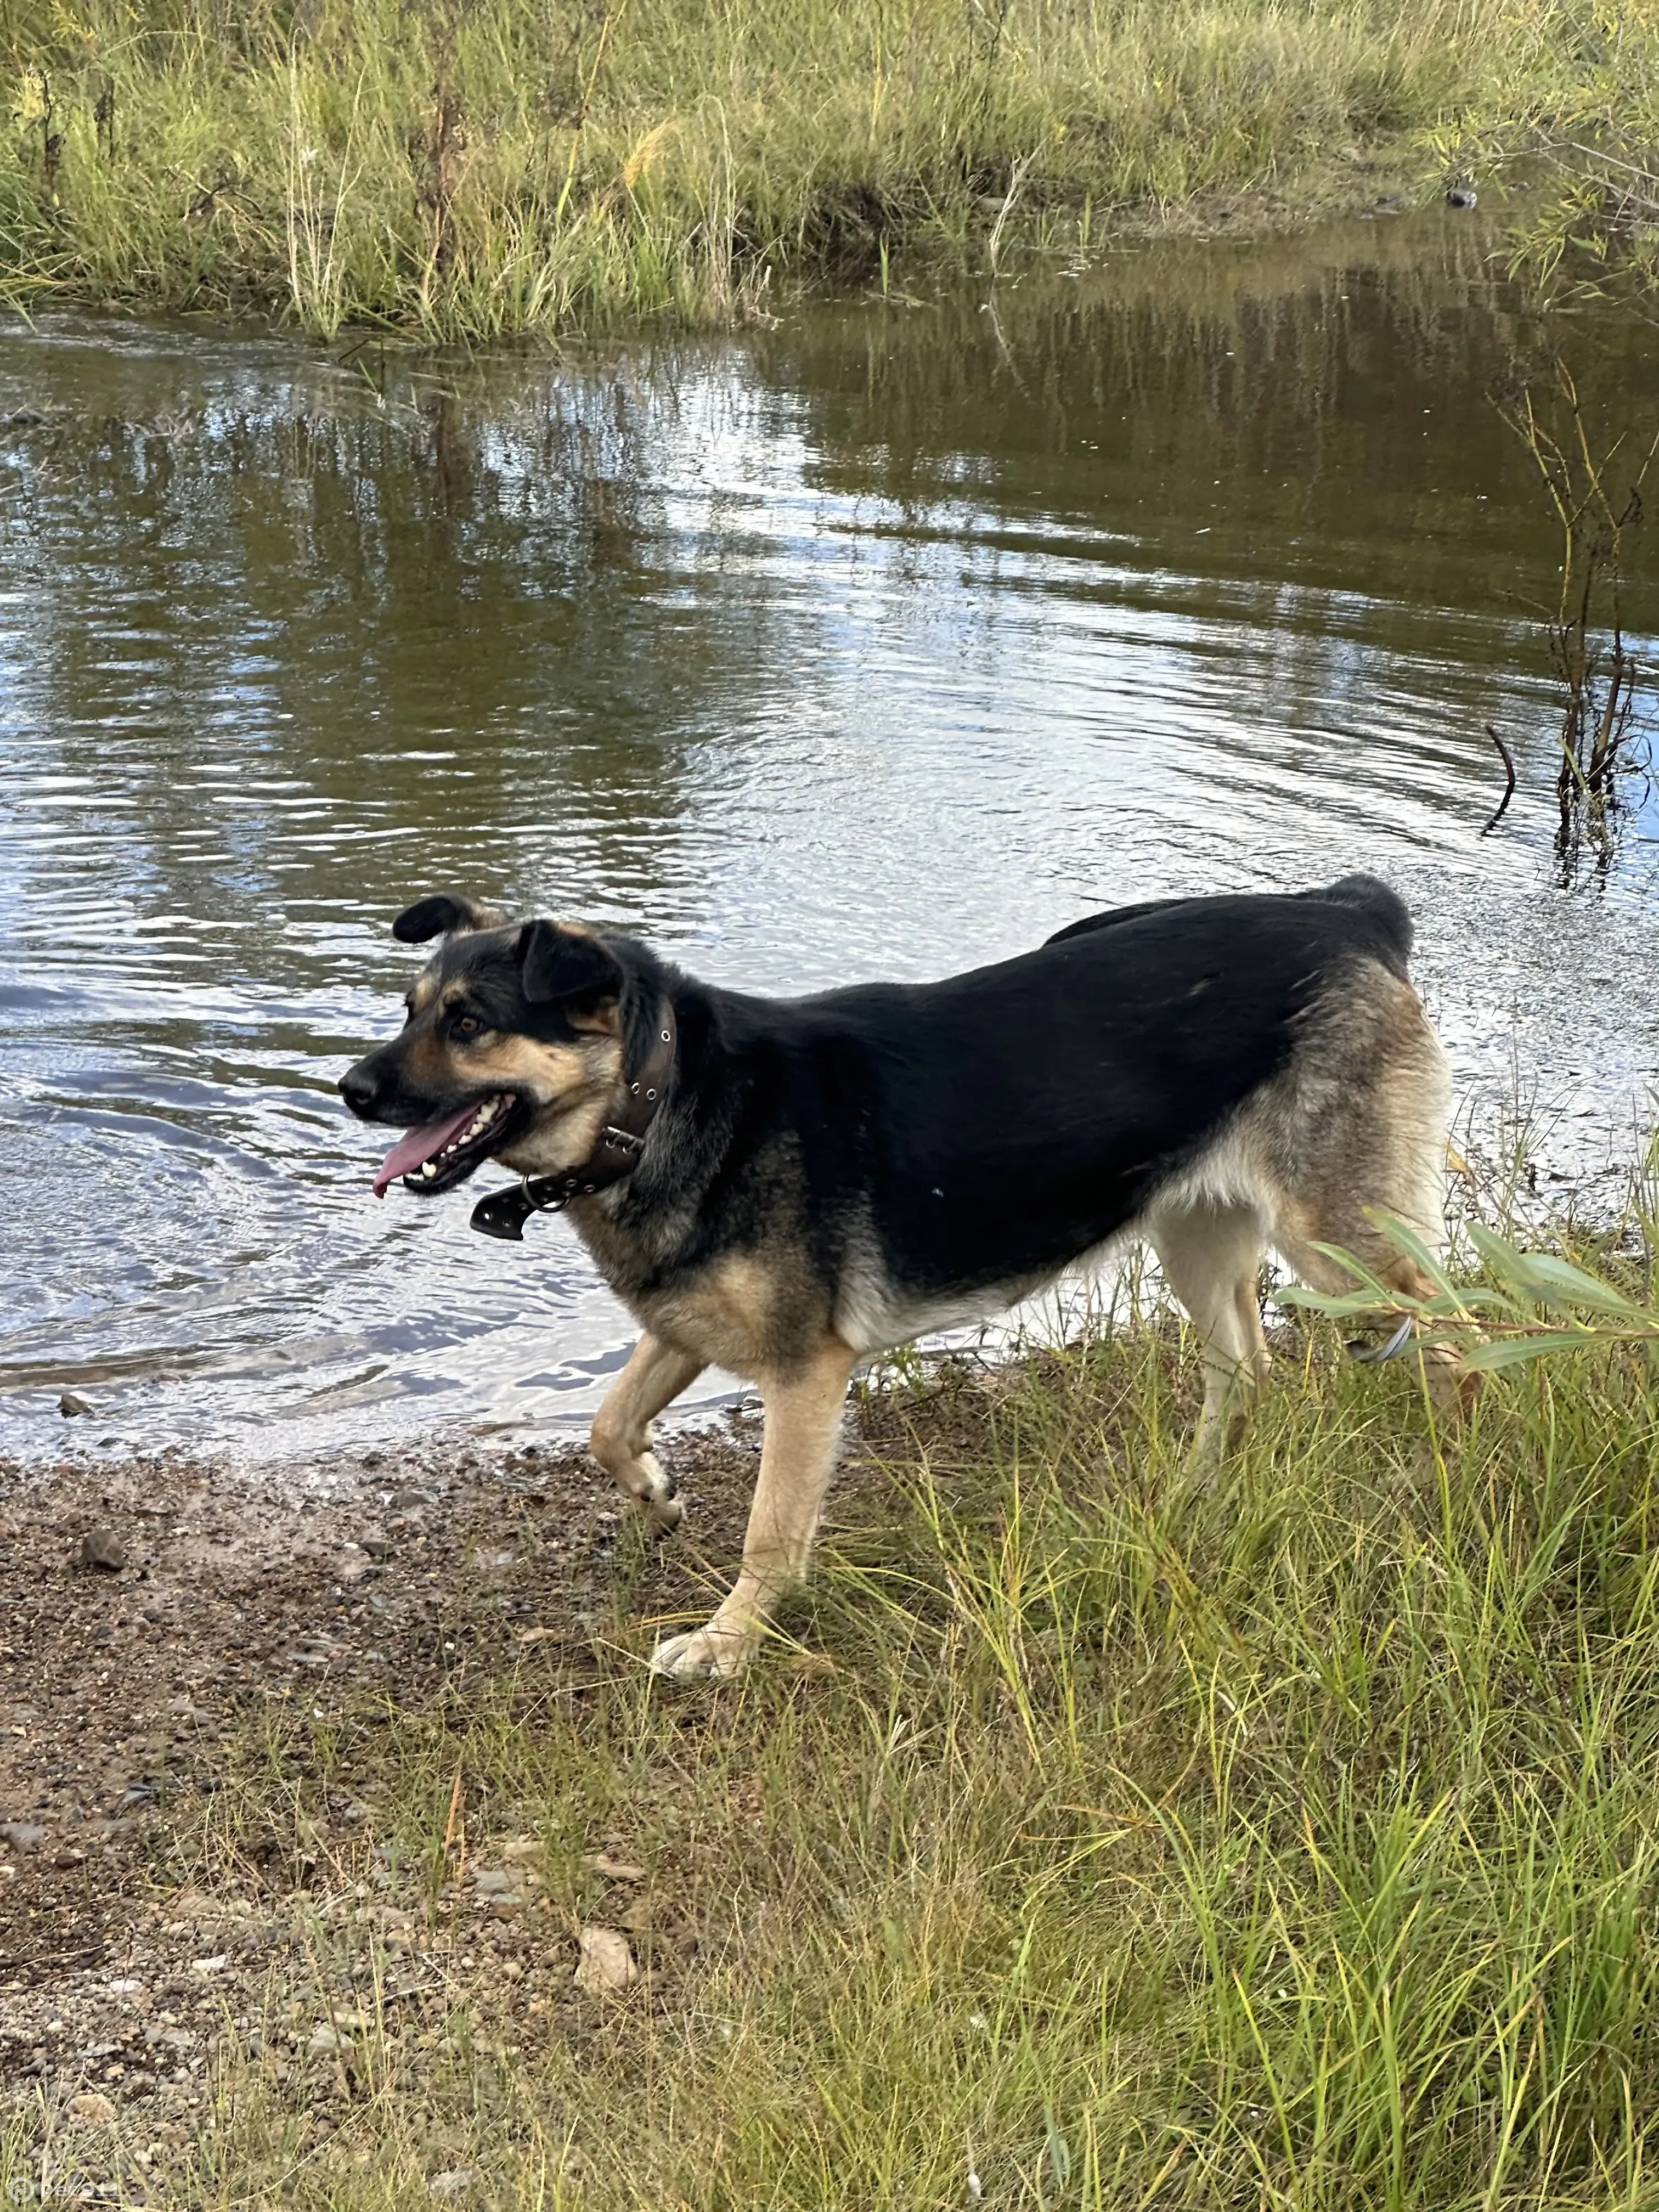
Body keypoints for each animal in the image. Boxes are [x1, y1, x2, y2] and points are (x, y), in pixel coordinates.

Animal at [338, 876, 1469, 1672]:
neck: (664, 1097)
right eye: (408, 1008)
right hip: (1196, 1238)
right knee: (1243, 1367)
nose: (348, 1090)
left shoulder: (804, 1374)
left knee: (1454, 1325)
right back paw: (1194, 1496)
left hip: (1343, 1239)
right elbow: (606, 1425)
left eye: (468, 1022)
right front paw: (656, 1496)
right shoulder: (688, 1323)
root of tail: (1349, 912)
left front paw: (729, 1643)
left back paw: (1466, 1456)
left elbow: (769, 1530)